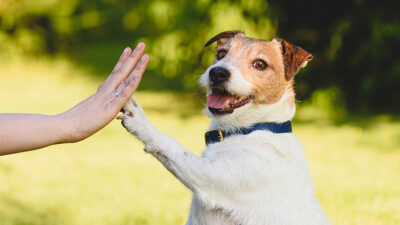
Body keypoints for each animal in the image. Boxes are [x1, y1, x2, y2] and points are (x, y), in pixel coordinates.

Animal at [119, 30, 332, 225]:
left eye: (260, 64)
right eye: (221, 53)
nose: (217, 72)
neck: (251, 130)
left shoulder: (209, 177)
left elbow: (170, 144)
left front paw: (139, 120)